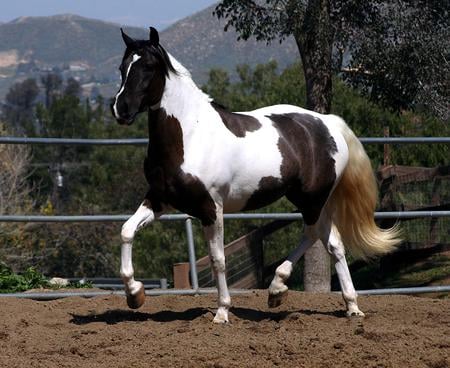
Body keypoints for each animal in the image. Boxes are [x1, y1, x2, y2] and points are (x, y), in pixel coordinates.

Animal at [110, 28, 400, 322]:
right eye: (122, 67)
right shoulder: (160, 200)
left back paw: (278, 289)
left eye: (148, 66)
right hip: (315, 201)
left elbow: (218, 259)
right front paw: (135, 294)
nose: (121, 109)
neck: (189, 136)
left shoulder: (211, 208)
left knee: (312, 234)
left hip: (312, 200)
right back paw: (349, 306)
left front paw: (222, 312)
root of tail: (327, 122)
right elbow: (127, 231)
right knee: (333, 243)